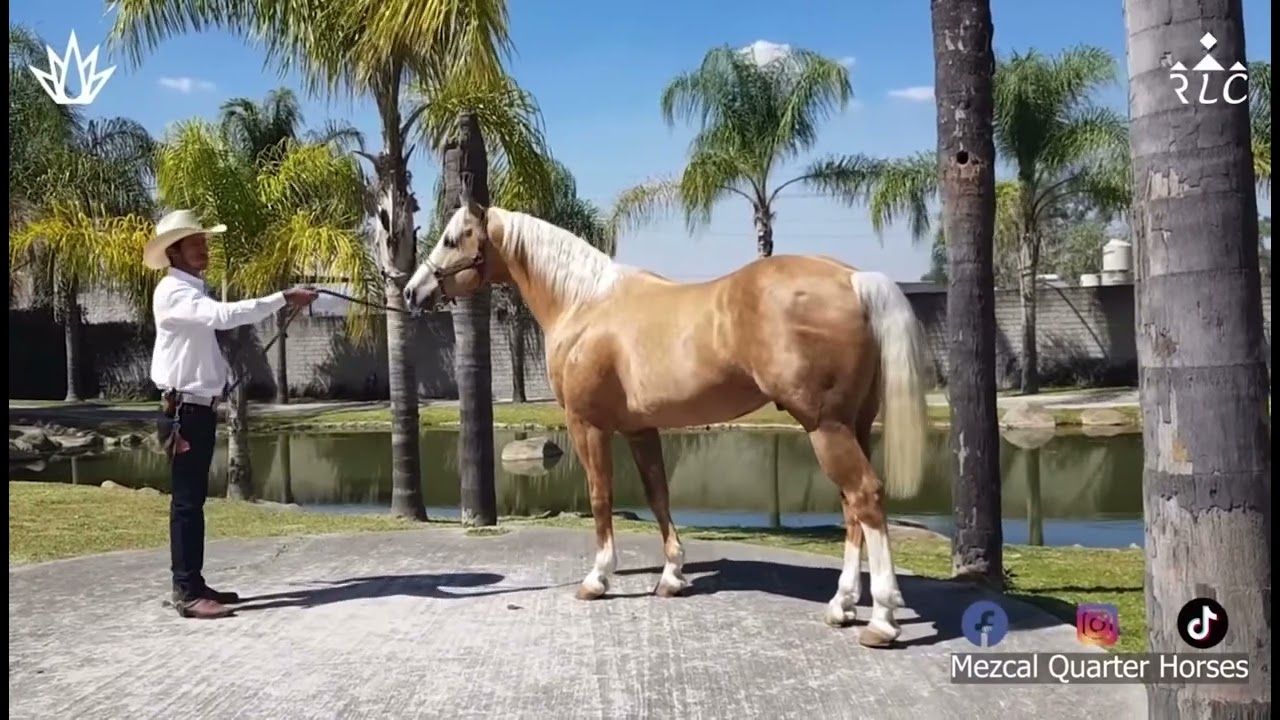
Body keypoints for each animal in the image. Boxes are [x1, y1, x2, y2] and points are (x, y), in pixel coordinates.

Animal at [404, 197, 932, 648]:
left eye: (452, 238)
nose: (411, 291)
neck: (585, 304)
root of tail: (854, 279)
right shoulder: (641, 429)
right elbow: (658, 495)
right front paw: (673, 575)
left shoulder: (588, 426)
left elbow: (600, 496)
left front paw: (598, 578)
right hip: (852, 425)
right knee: (851, 506)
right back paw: (842, 606)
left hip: (826, 428)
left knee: (865, 497)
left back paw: (883, 620)